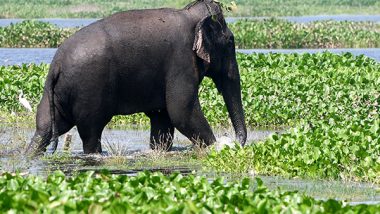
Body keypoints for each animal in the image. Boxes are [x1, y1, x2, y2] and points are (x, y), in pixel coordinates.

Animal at [26, 0, 246, 155]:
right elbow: (181, 111)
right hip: (89, 88)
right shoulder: (181, 60)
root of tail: (56, 65)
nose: (235, 141)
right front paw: (218, 148)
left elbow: (162, 117)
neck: (189, 13)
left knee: (45, 127)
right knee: (91, 131)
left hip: (55, 92)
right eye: (230, 41)